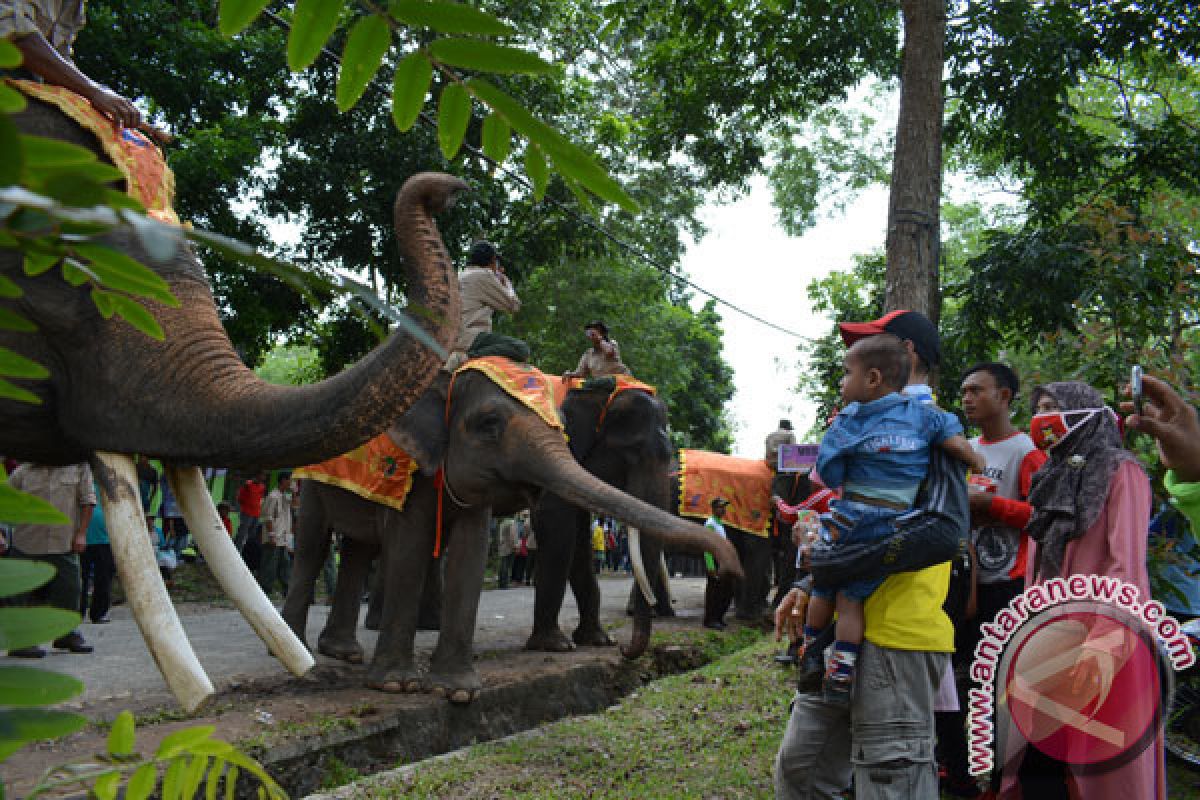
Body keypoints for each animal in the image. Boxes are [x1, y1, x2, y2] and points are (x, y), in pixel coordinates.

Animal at [528, 379, 676, 662]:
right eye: (632, 453)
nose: (623, 648)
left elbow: (578, 535)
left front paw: (597, 641)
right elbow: (555, 518)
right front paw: (556, 645)